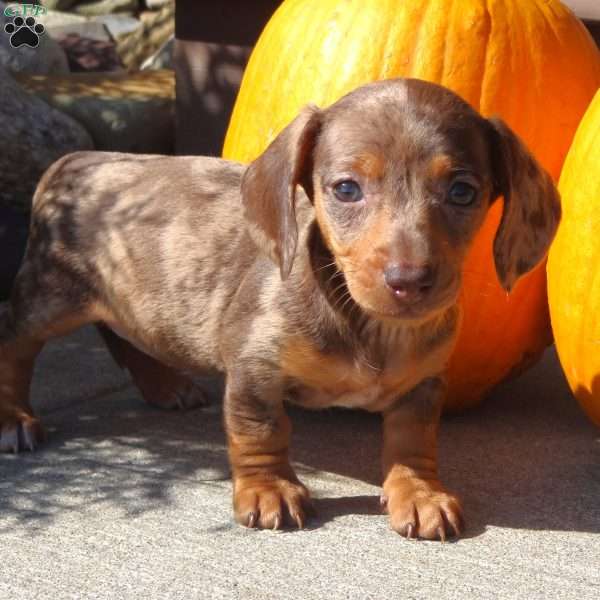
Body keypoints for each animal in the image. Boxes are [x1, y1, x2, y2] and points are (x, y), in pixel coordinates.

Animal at [1, 78, 564, 540]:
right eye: (346, 188)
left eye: (463, 191)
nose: (409, 281)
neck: (369, 326)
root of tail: (76, 160)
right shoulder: (254, 366)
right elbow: (261, 429)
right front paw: (268, 488)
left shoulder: (423, 385)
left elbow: (412, 440)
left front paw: (418, 492)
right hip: (50, 295)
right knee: (16, 343)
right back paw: (13, 418)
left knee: (125, 336)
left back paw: (163, 385)